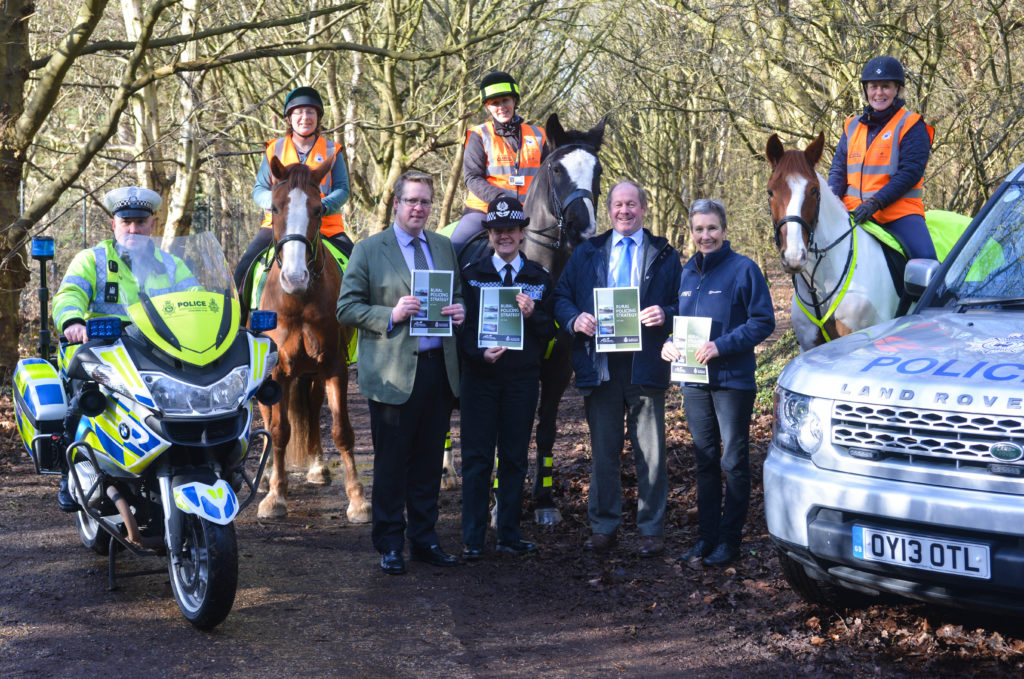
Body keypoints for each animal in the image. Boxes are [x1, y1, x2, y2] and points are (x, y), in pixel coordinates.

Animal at [256, 156, 372, 522]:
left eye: (319, 209)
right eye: (275, 208)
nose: (295, 277)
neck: (299, 301)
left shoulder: (333, 364)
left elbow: (341, 430)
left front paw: (357, 499)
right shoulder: (277, 371)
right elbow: (279, 430)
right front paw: (276, 496)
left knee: (313, 408)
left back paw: (317, 468)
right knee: (270, 419)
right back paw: (265, 478)